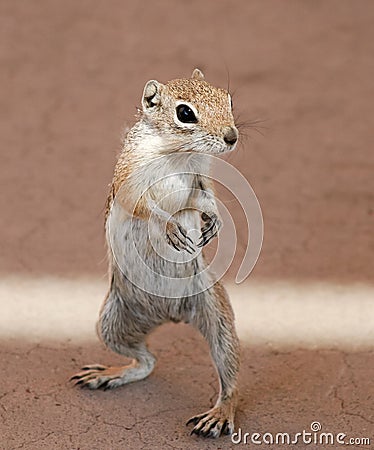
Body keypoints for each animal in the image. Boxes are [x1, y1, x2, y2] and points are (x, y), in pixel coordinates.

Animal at [71, 68, 241, 438]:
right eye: (185, 113)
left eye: (229, 100)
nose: (232, 137)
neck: (179, 152)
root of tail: (169, 315)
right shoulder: (130, 174)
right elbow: (140, 204)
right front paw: (169, 225)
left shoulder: (199, 178)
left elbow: (206, 198)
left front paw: (215, 221)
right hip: (112, 323)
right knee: (146, 361)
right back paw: (111, 373)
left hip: (218, 316)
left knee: (229, 378)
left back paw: (220, 413)